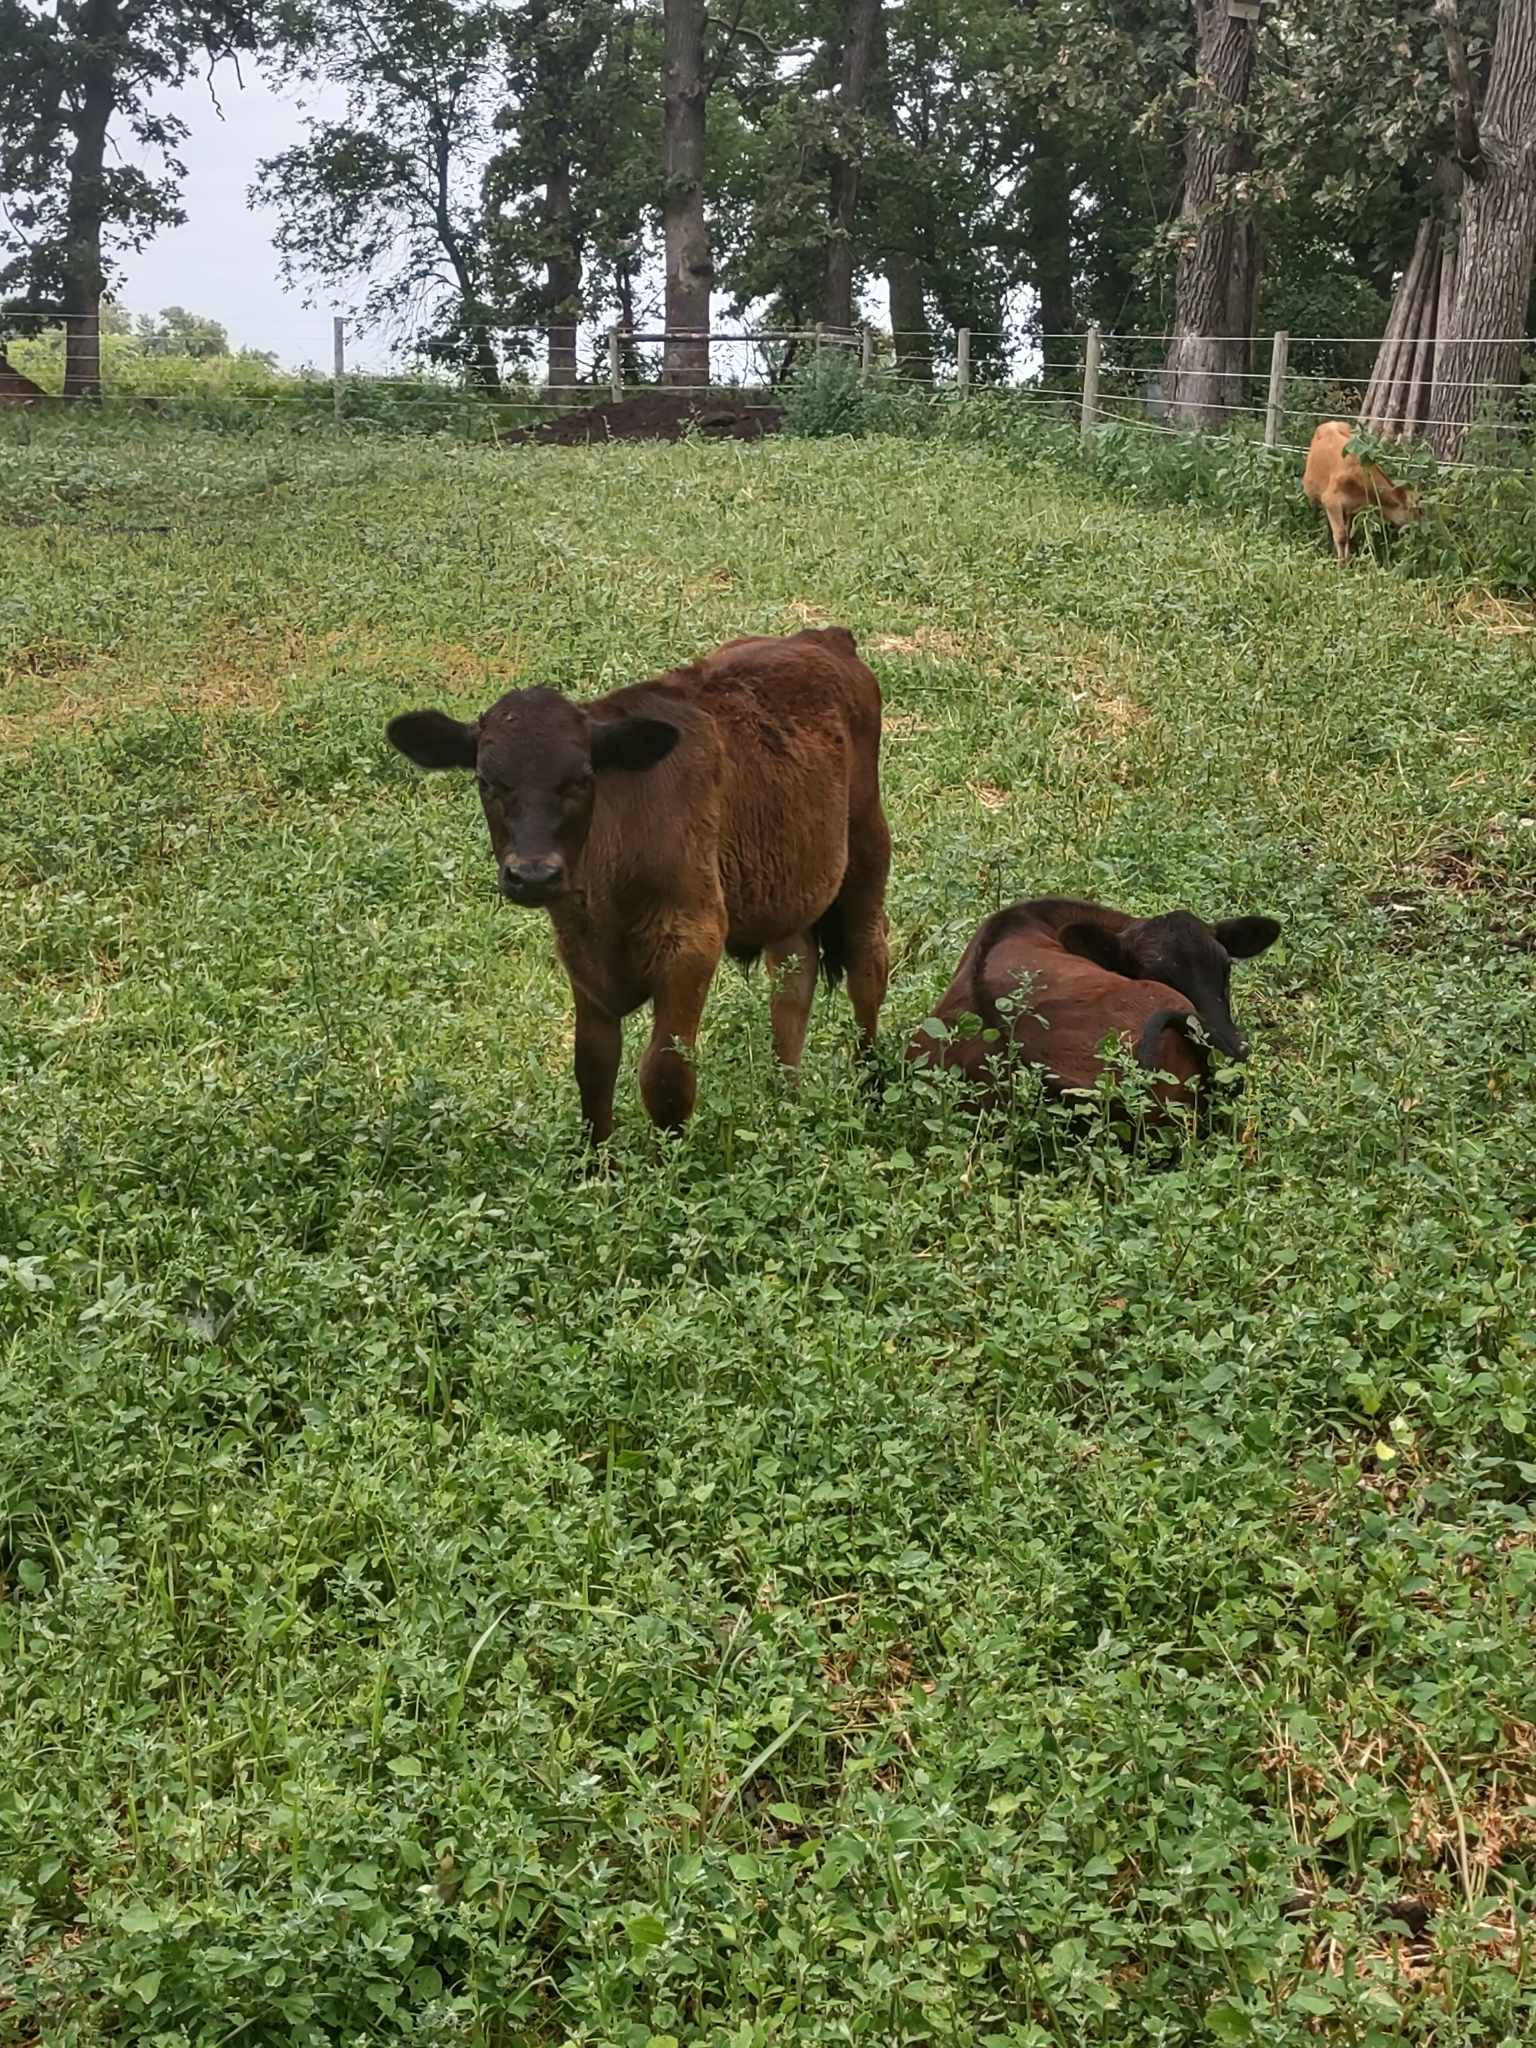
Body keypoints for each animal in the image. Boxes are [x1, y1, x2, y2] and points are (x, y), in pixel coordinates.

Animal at [387, 628, 891, 1144]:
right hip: (788, 888)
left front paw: (671, 1162)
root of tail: (824, 637)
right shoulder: (581, 956)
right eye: (487, 782)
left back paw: (872, 1089)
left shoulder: (693, 941)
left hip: (866, 851)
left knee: (867, 967)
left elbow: (665, 1077)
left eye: (582, 780)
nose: (533, 874)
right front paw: (596, 1163)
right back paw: (785, 1104)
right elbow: (593, 1070)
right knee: (793, 980)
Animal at [1303, 420, 1422, 563]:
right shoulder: (1331, 501)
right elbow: (1341, 536)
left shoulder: (1351, 508)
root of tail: (1331, 422)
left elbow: (1349, 534)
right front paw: (1341, 564)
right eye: (1418, 511)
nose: (1419, 533)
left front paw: (1348, 560)